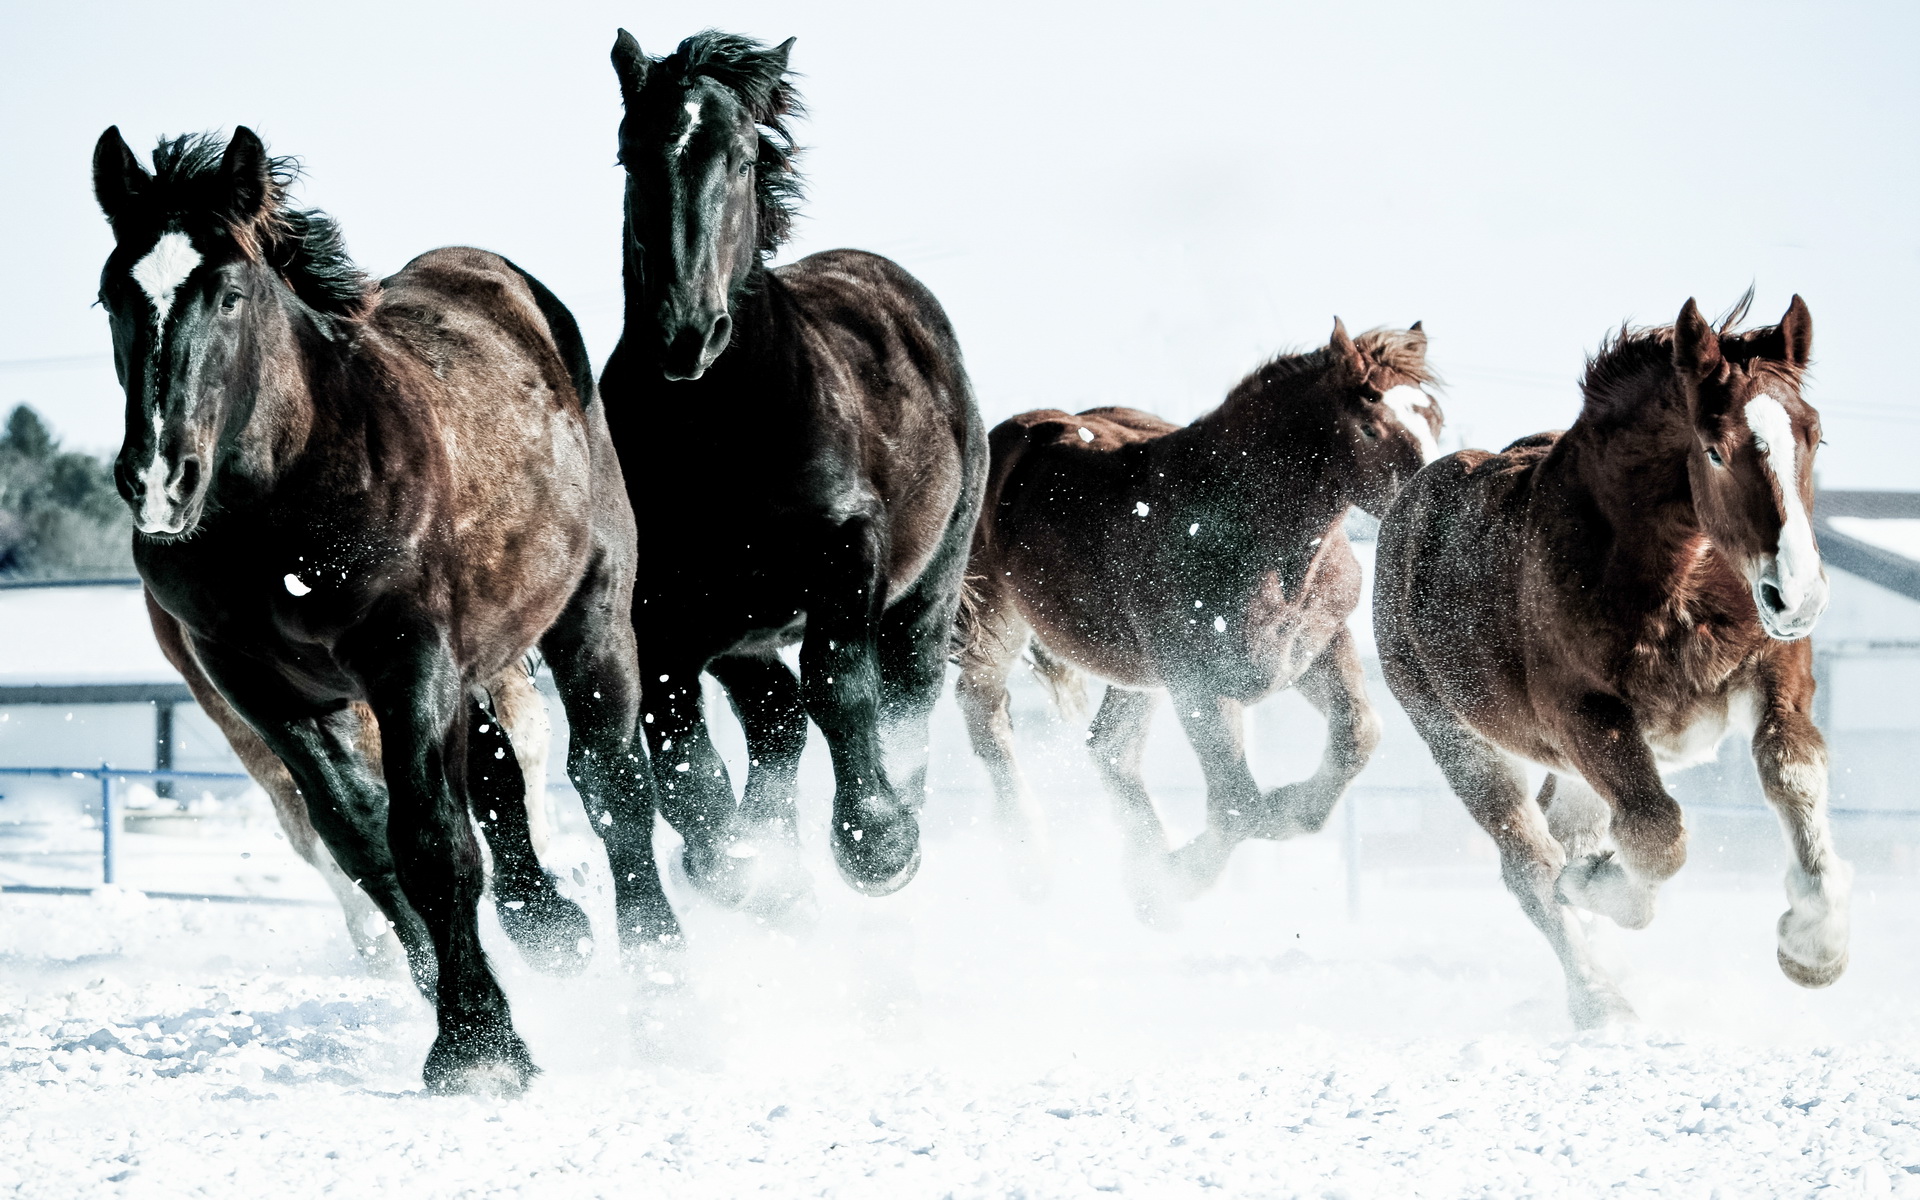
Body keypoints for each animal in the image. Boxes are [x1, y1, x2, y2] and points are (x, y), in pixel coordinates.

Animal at [602, 30, 990, 906]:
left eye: (744, 157)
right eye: (629, 154)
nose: (686, 334)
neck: (719, 437)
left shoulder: (847, 550)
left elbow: (839, 686)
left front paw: (879, 844)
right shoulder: (661, 620)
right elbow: (684, 757)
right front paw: (738, 863)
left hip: (928, 589)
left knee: (903, 696)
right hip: (742, 632)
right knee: (774, 718)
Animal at [956, 322, 1443, 913]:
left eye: (1435, 417)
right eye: (1370, 427)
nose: (1429, 508)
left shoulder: (1316, 648)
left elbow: (1358, 735)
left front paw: (1162, 886)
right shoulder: (1198, 685)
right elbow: (1241, 804)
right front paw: (1180, 879)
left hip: (1139, 674)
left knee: (1109, 747)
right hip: (995, 619)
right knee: (986, 713)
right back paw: (1035, 865)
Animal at [1382, 295, 1843, 1021]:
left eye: (1814, 437)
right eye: (1714, 450)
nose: (1795, 598)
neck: (1670, 584)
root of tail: (1405, 510)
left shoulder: (1773, 672)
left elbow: (1792, 773)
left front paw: (1815, 949)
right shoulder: (1587, 716)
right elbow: (1656, 834)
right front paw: (1593, 886)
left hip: (1576, 767)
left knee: (1564, 831)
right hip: (1463, 743)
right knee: (1532, 861)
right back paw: (1599, 998)